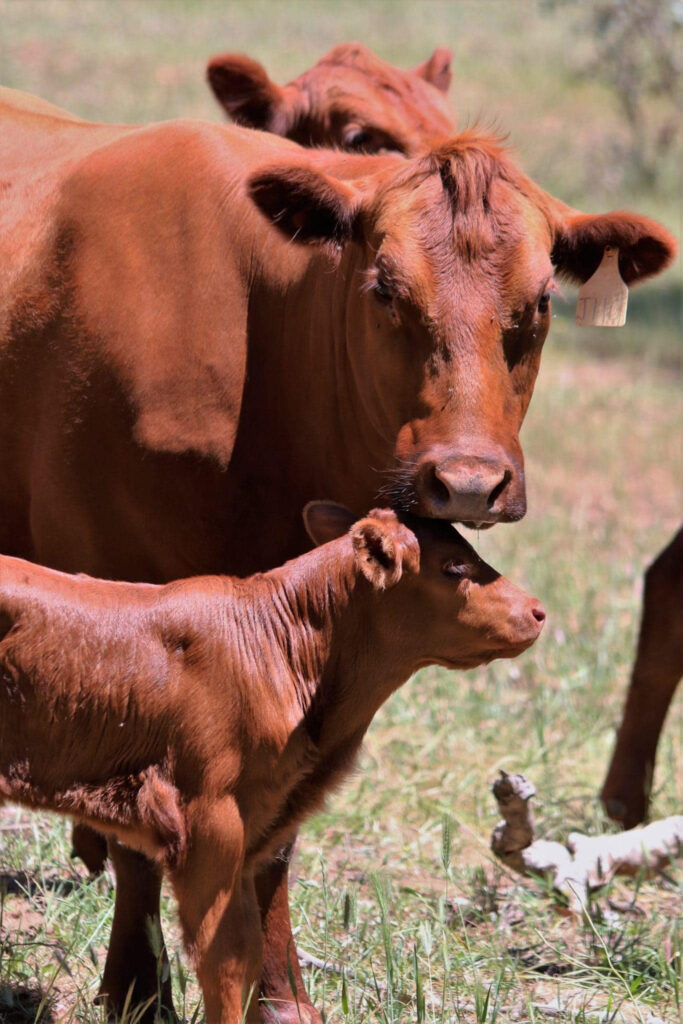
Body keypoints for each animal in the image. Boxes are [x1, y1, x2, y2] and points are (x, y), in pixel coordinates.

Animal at [0, 505, 544, 1024]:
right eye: (453, 567)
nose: (538, 612)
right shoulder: (209, 822)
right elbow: (223, 959)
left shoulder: (250, 831)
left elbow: (246, 948)